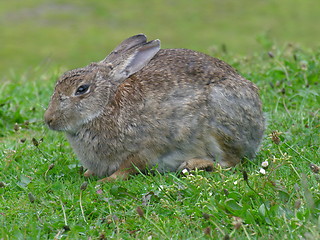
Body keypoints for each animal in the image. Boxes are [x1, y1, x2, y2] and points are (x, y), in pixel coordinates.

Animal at [44, 34, 264, 182]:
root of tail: (259, 123)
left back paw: (196, 164)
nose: (48, 120)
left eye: (82, 89)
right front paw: (88, 174)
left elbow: (128, 167)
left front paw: (106, 180)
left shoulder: (145, 147)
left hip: (220, 123)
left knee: (231, 161)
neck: (105, 106)